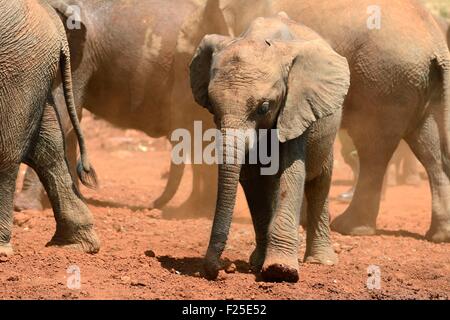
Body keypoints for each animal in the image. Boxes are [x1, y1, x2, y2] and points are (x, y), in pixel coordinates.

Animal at [190, 13, 352, 282]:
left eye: (264, 107)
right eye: (212, 106)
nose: (219, 269)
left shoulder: (296, 105)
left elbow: (292, 172)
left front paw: (280, 271)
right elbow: (252, 179)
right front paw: (261, 266)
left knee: (319, 183)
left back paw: (321, 262)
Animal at [216, 0, 450, 241]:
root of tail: (436, 43)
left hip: (386, 80)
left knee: (373, 148)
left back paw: (350, 227)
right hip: (418, 83)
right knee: (428, 146)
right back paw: (439, 235)